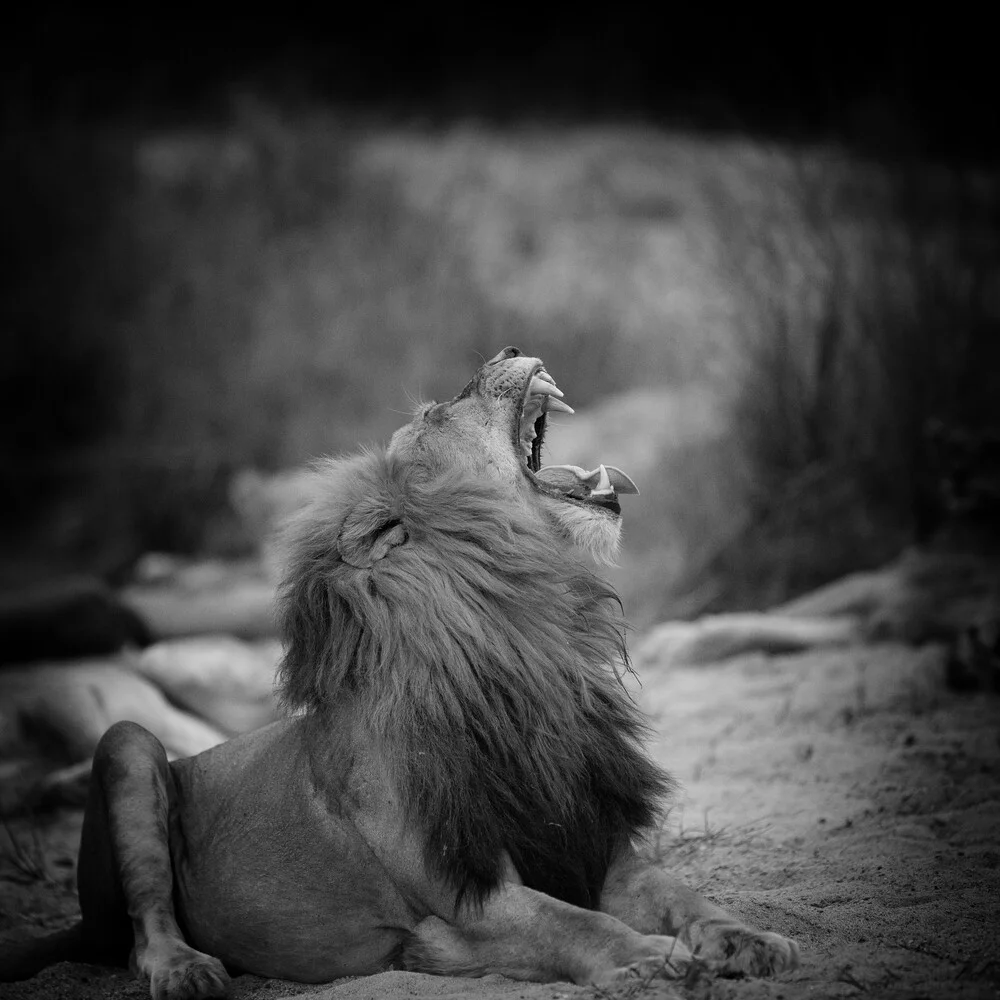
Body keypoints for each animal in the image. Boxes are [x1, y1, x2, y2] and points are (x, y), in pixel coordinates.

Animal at [0, 348, 796, 996]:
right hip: (128, 745)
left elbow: (683, 894)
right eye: (435, 414)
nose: (508, 347)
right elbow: (571, 923)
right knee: (143, 923)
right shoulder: (463, 892)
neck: (520, 639)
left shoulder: (595, 843)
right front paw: (651, 958)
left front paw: (750, 939)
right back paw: (187, 970)